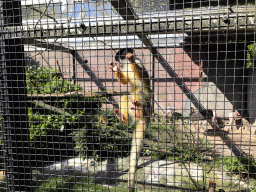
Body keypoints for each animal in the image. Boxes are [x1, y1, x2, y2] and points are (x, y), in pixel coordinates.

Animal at [108, 48, 152, 192]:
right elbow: (124, 82)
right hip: (132, 106)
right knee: (126, 97)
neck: (126, 65)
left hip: (146, 102)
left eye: (119, 56)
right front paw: (115, 69)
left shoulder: (139, 62)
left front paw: (131, 59)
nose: (118, 62)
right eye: (118, 60)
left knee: (139, 92)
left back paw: (138, 111)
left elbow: (140, 74)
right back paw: (123, 118)